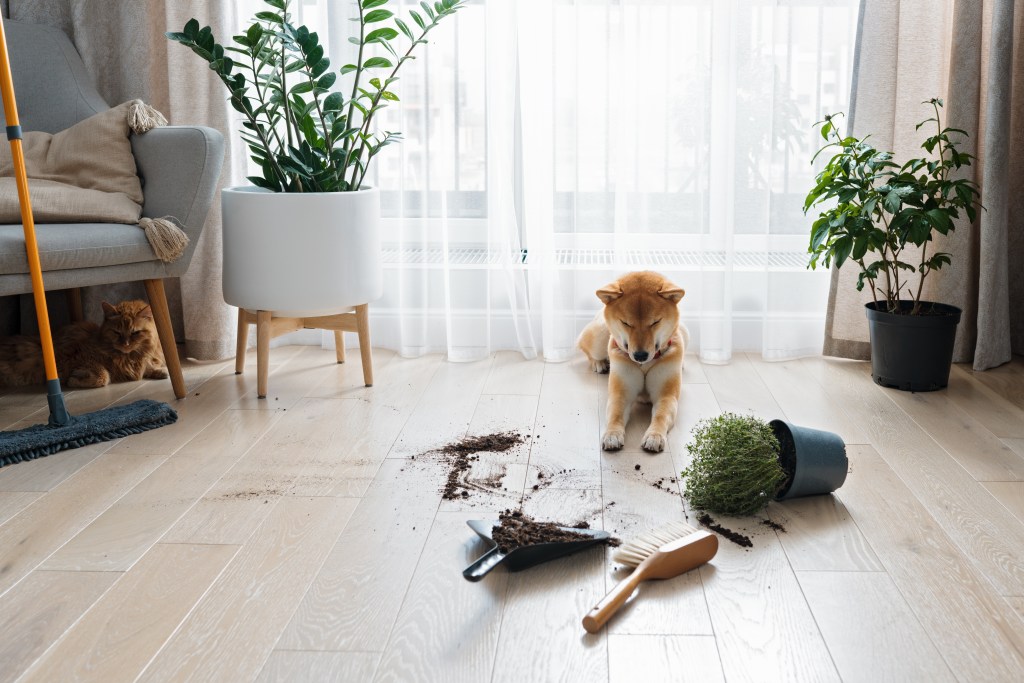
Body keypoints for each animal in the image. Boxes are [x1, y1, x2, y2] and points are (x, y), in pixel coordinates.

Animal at [0, 301, 165, 389]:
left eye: (135, 333)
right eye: (117, 332)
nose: (125, 344)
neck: (128, 357)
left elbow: (150, 368)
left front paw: (158, 371)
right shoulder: (76, 358)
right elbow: (103, 376)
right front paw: (73, 381)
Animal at [577, 270, 688, 454]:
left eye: (655, 322)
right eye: (626, 323)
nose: (640, 355)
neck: (644, 365)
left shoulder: (666, 395)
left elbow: (661, 415)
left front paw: (654, 436)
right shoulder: (621, 392)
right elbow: (615, 414)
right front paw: (612, 435)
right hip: (600, 337)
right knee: (584, 346)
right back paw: (599, 363)